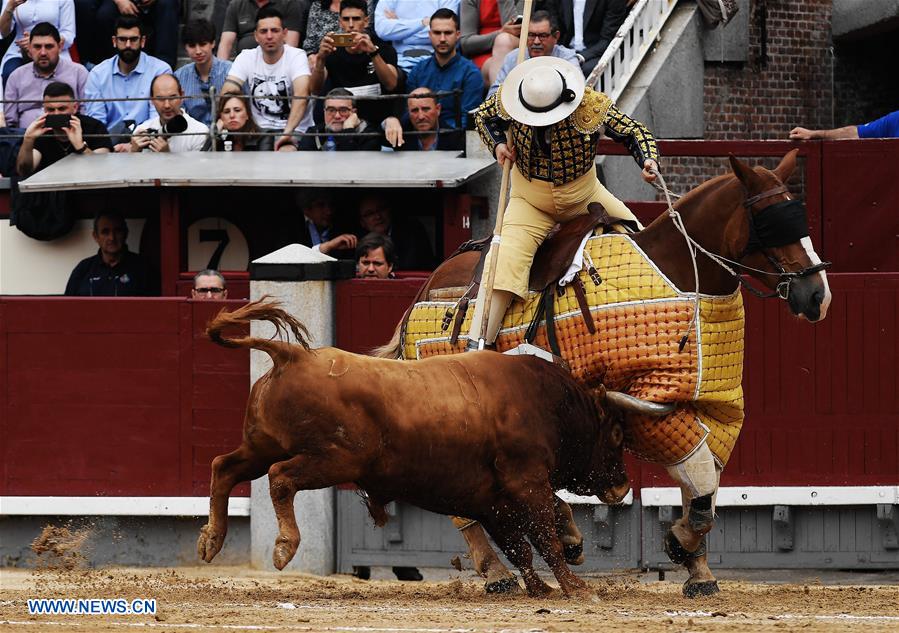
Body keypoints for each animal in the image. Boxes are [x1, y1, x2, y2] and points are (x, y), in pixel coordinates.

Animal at [199, 298, 632, 596]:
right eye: (615, 434)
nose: (622, 486)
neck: (545, 401)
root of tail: (292, 356)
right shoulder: (527, 482)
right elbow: (544, 536)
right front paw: (576, 588)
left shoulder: (493, 501)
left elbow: (522, 547)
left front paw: (541, 589)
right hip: (335, 460)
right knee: (280, 477)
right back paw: (284, 546)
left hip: (263, 446)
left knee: (224, 466)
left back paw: (211, 540)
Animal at [376, 151, 832, 596]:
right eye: (771, 224)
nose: (818, 296)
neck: (678, 274)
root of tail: (421, 293)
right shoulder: (647, 407)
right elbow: (700, 478)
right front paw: (679, 544)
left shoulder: (710, 404)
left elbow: (703, 484)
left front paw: (697, 569)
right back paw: (498, 574)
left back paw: (565, 538)